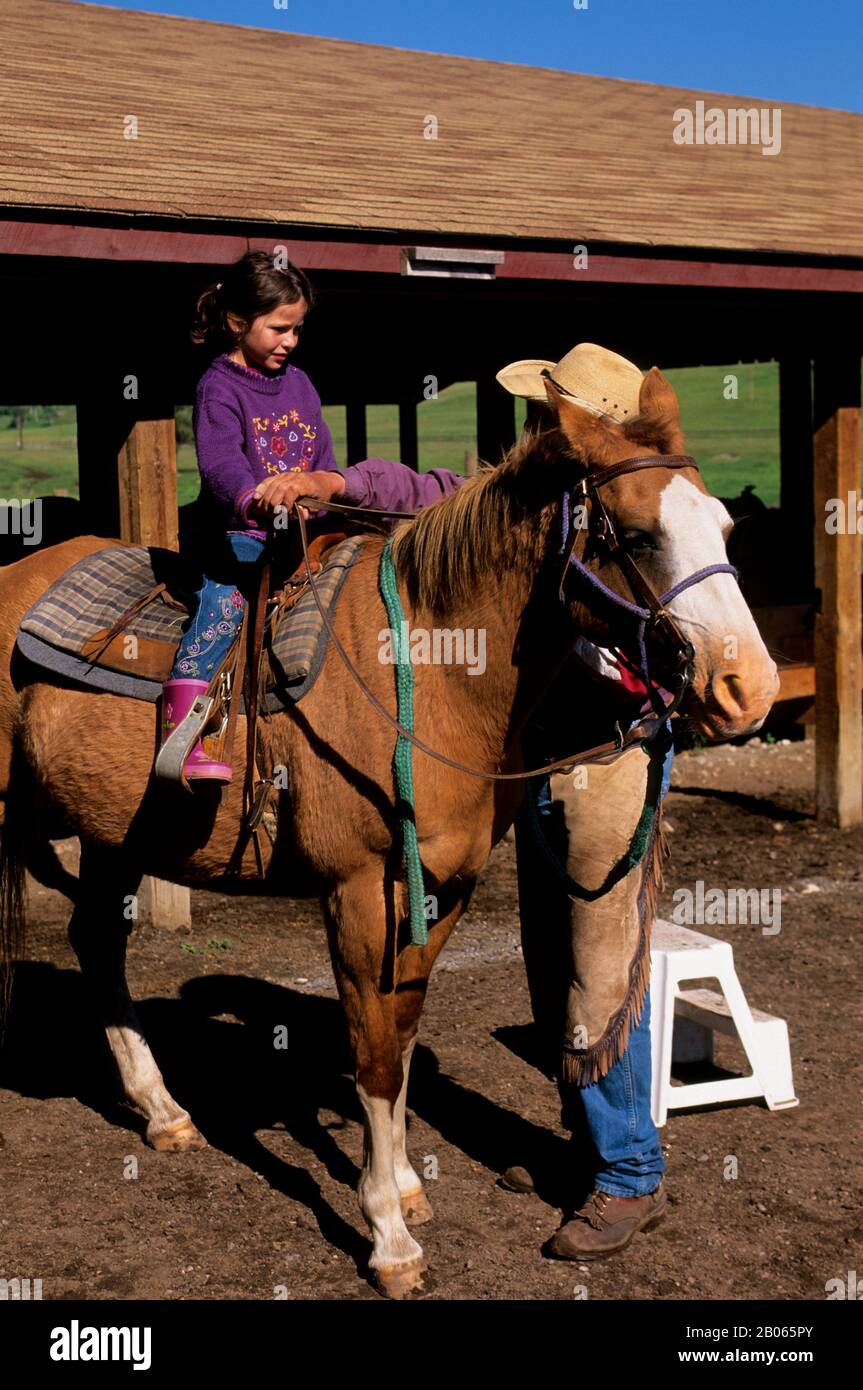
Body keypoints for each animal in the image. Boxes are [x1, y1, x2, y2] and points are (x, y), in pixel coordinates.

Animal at [0, 369, 778, 1297]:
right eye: (633, 534)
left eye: (725, 526)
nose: (749, 687)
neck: (431, 669)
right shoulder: (360, 890)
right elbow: (372, 1050)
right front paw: (388, 1238)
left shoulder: (439, 889)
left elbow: (401, 1034)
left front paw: (404, 1186)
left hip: (116, 834)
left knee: (95, 941)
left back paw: (163, 1111)